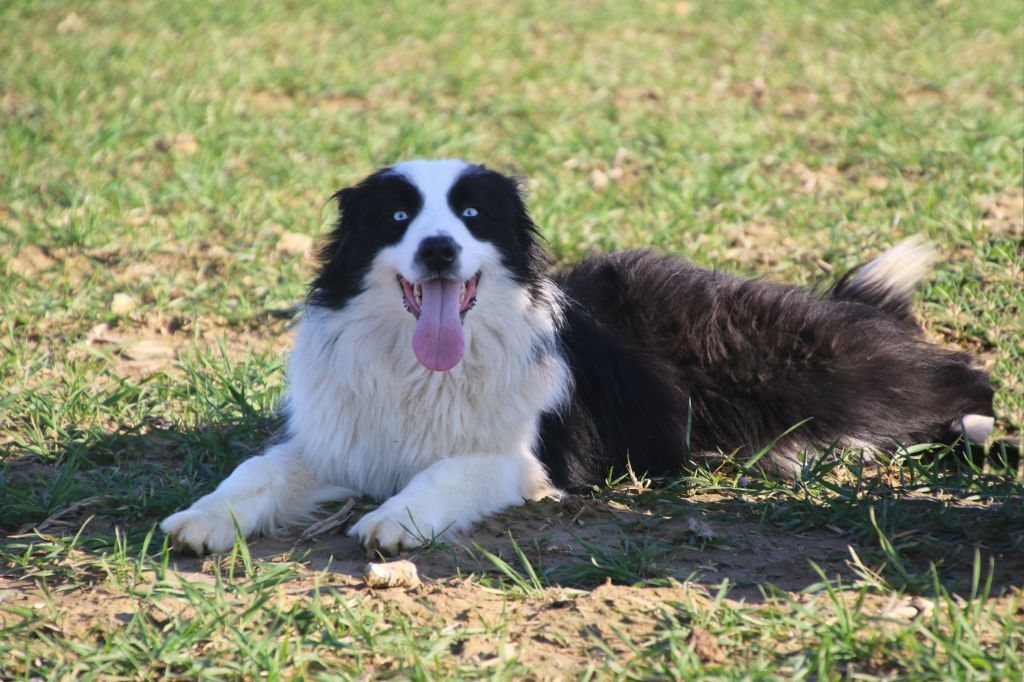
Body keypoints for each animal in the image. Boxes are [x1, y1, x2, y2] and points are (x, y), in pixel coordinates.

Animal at [159, 157, 991, 552]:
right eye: (396, 218)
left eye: (472, 215)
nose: (437, 249)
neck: (421, 369)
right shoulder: (339, 436)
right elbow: (256, 470)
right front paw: (204, 518)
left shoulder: (528, 458)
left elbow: (450, 469)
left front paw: (397, 518)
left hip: (818, 367)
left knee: (960, 374)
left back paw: (979, 433)